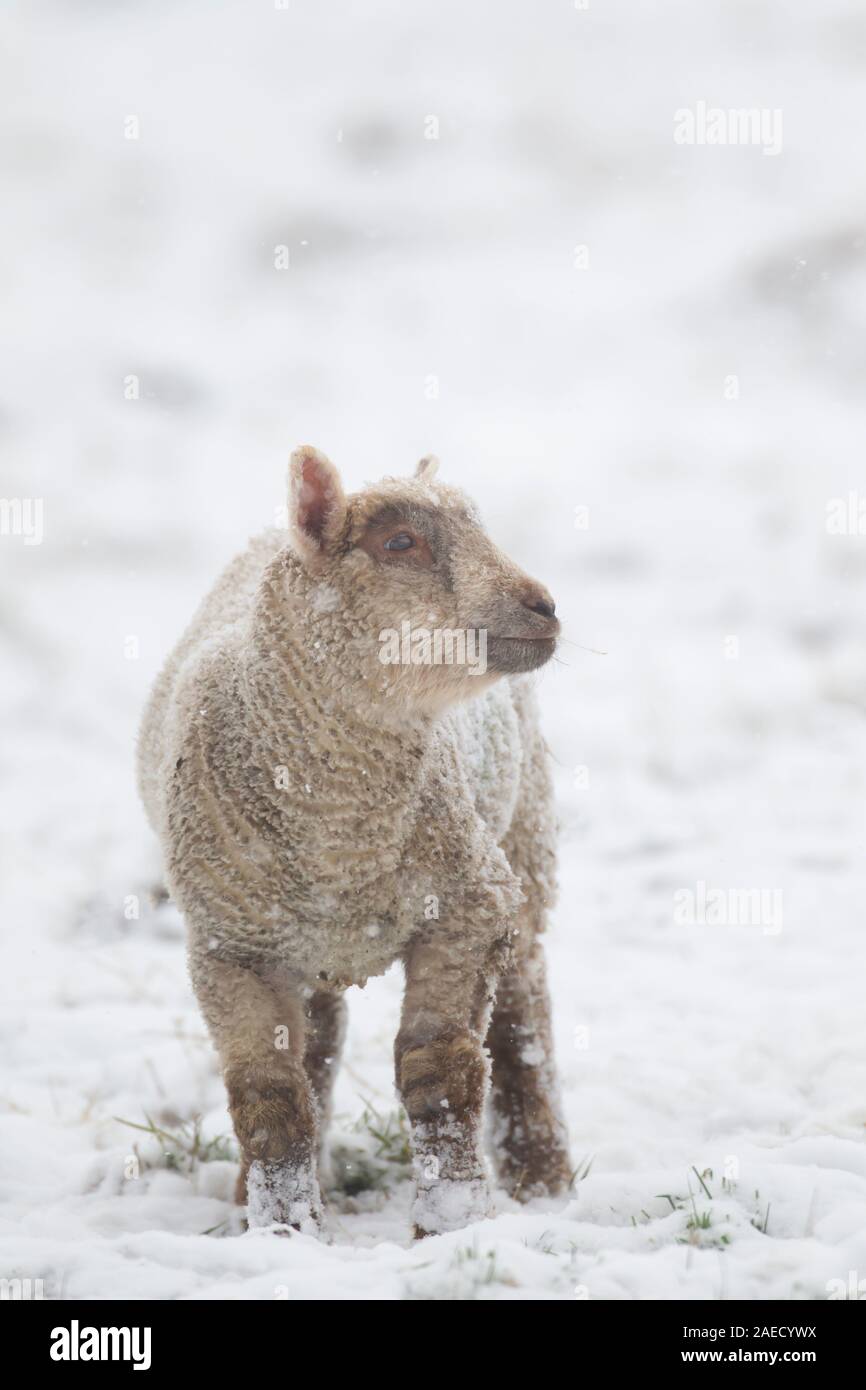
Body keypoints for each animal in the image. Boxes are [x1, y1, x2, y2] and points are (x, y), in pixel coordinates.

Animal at [137, 446, 571, 1237]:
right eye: (400, 543)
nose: (543, 606)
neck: (339, 831)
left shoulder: (468, 907)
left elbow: (441, 1069)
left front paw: (452, 1220)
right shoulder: (227, 950)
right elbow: (269, 1096)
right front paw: (283, 1230)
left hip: (524, 839)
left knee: (523, 1016)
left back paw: (541, 1175)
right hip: (293, 936)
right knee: (319, 1041)